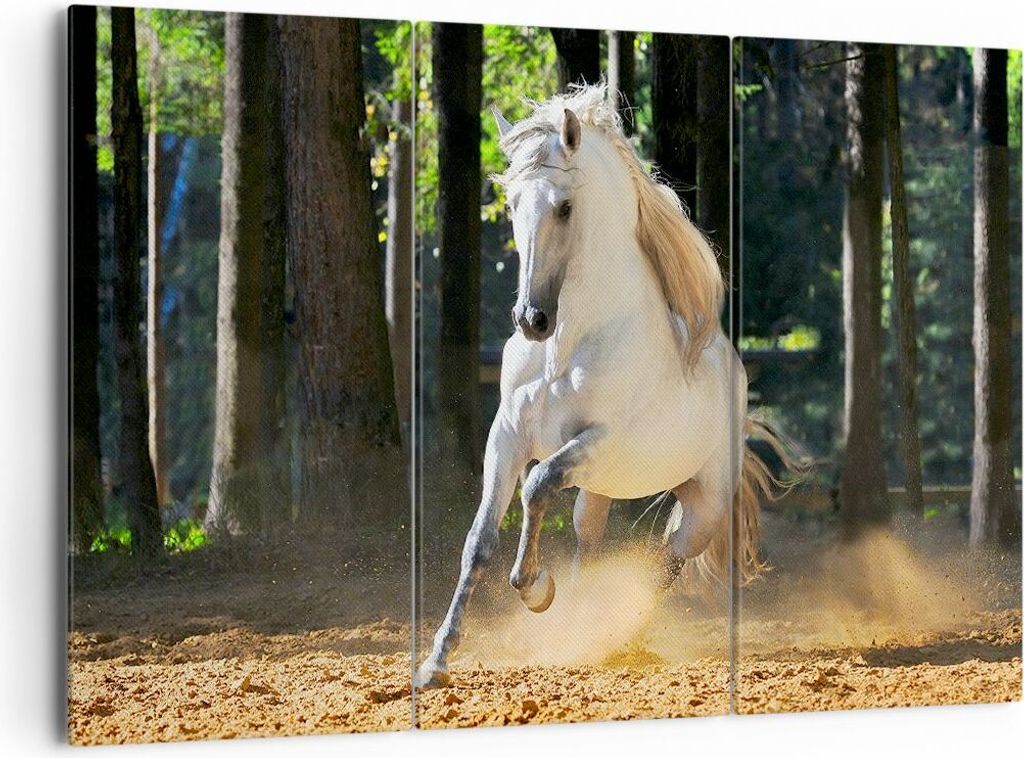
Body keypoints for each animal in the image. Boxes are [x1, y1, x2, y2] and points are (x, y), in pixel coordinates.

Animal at [416, 83, 788, 689]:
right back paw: (579, 631)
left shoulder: (596, 441)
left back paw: (616, 636)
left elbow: (536, 486)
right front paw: (436, 661)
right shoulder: (507, 437)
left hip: (703, 505)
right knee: (589, 543)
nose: (531, 319)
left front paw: (534, 589)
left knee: (668, 560)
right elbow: (479, 541)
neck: (565, 348)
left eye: (565, 207)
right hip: (599, 490)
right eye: (512, 204)